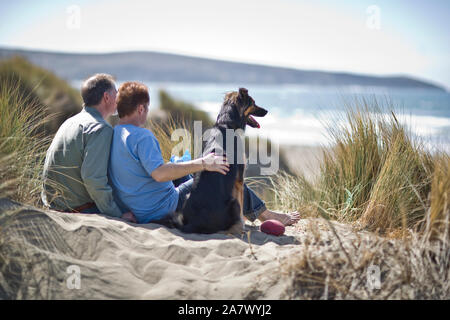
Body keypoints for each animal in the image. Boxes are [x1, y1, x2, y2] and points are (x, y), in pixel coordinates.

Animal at [177, 89, 268, 234]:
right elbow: (241, 205)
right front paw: (242, 225)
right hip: (232, 202)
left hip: (186, 196)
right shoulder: (239, 179)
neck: (227, 124)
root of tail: (194, 223)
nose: (267, 111)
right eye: (253, 103)